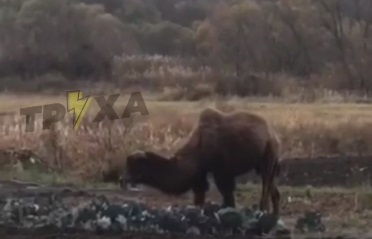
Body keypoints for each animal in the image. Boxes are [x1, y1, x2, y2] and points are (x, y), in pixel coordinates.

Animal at [120, 107, 280, 218]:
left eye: (134, 166)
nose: (122, 179)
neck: (197, 148)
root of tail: (273, 134)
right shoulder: (200, 173)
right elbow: (199, 197)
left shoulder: (220, 171)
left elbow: (228, 197)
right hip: (264, 162)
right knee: (273, 187)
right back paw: (274, 216)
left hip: (268, 153)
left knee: (266, 184)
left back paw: (263, 211)